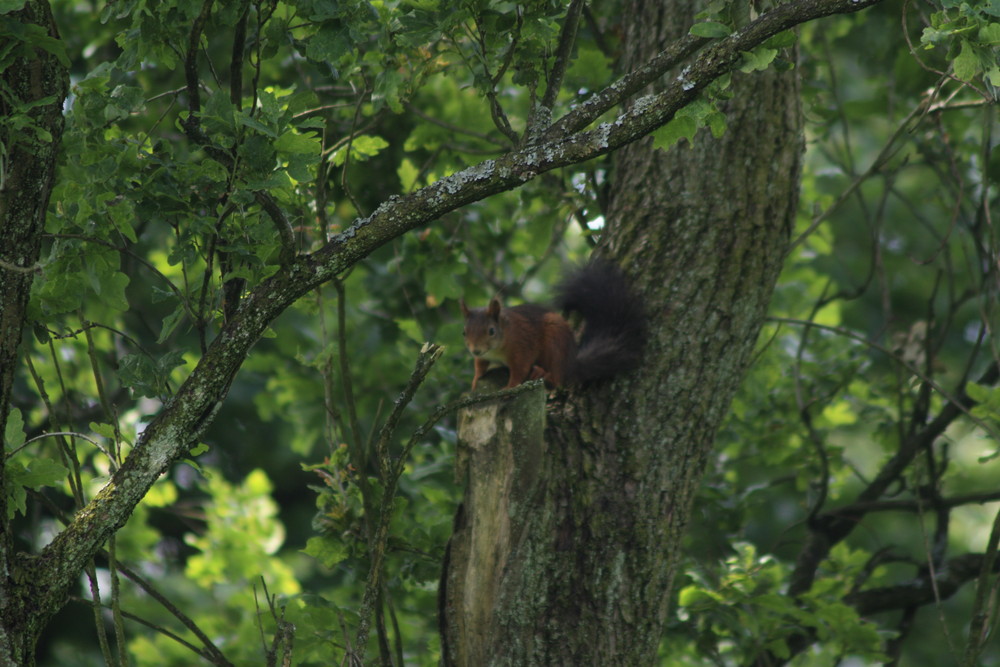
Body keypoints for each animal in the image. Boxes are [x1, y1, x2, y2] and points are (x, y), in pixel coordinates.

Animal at [458, 262, 644, 392]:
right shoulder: (483, 357)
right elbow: (480, 366)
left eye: (491, 331)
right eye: (464, 332)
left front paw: (510, 387)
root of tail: (570, 365)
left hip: (556, 342)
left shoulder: (521, 346)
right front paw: (474, 381)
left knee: (556, 378)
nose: (475, 350)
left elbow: (519, 370)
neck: (497, 348)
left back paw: (543, 373)